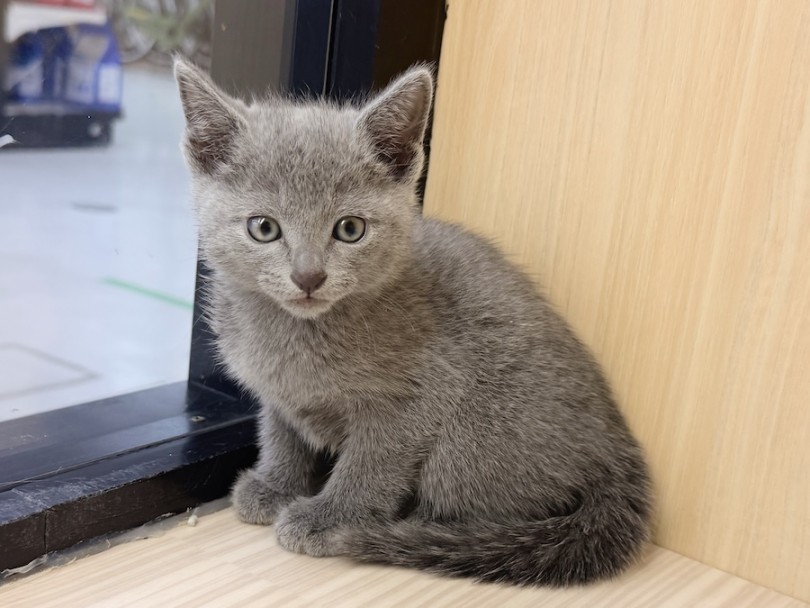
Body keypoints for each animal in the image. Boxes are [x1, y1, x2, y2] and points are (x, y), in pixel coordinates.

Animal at [175, 58, 652, 587]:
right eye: (263, 228)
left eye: (350, 229)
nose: (308, 275)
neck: (297, 336)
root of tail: (616, 450)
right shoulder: (277, 392)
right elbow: (282, 434)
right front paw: (276, 484)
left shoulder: (418, 397)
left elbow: (372, 462)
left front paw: (333, 518)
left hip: (468, 446)